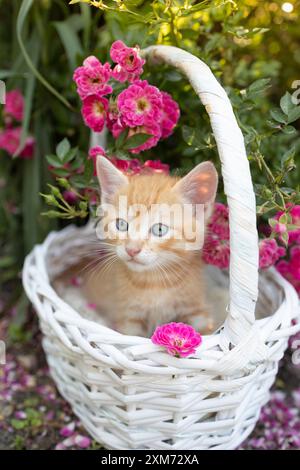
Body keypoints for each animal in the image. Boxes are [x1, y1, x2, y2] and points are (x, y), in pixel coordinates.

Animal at [81, 158, 218, 338]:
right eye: (121, 225)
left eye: (159, 229)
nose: (131, 249)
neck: (155, 282)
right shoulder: (129, 319)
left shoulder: (196, 310)